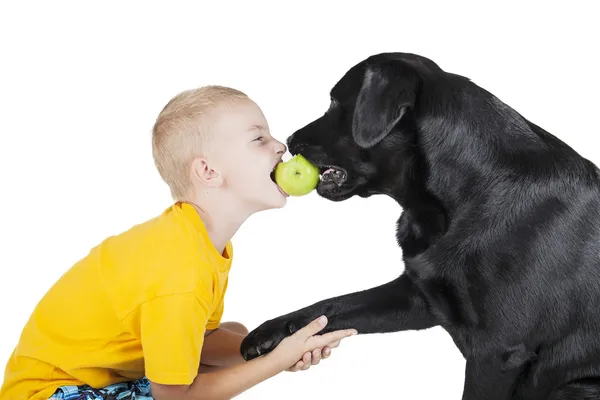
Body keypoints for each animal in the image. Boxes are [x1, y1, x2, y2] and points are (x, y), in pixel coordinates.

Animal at [239, 53, 600, 400]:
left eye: (335, 104)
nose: (290, 139)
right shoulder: (419, 297)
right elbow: (332, 306)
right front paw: (271, 333)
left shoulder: (497, 351)